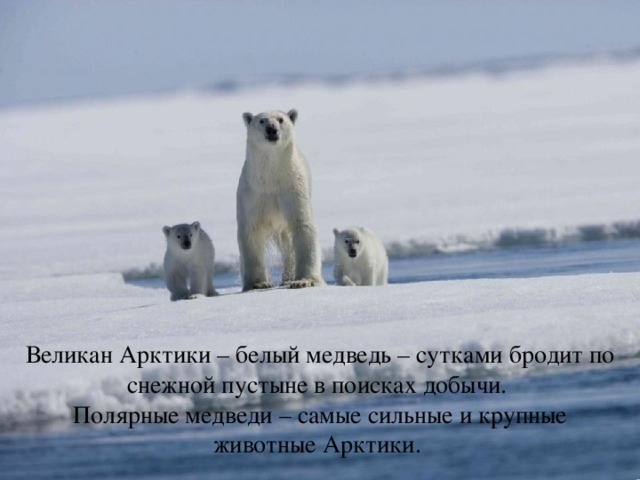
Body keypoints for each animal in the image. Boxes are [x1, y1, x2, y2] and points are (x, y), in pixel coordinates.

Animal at [236, 109, 324, 291]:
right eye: (261, 120)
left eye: (281, 119)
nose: (272, 129)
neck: (271, 178)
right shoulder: (252, 195)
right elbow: (251, 232)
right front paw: (258, 283)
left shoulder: (293, 189)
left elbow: (302, 226)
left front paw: (303, 280)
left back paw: (288, 278)